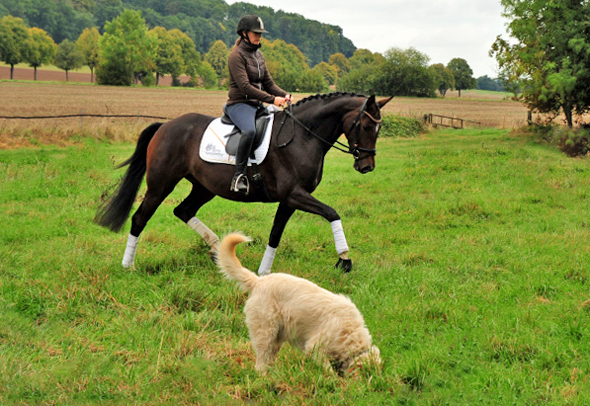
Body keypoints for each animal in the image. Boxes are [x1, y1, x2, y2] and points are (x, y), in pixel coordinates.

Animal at [96, 93, 394, 272]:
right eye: (366, 127)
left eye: (379, 129)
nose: (366, 166)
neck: (303, 136)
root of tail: (166, 126)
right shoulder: (294, 194)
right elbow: (332, 213)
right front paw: (344, 259)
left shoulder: (290, 199)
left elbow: (275, 233)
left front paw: (264, 272)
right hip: (161, 185)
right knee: (140, 218)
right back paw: (128, 266)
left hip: (204, 187)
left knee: (183, 210)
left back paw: (218, 251)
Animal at [219, 232, 384, 374]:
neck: (351, 333)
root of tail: (258, 281)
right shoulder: (315, 348)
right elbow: (328, 370)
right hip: (265, 332)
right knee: (261, 361)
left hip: (276, 337)